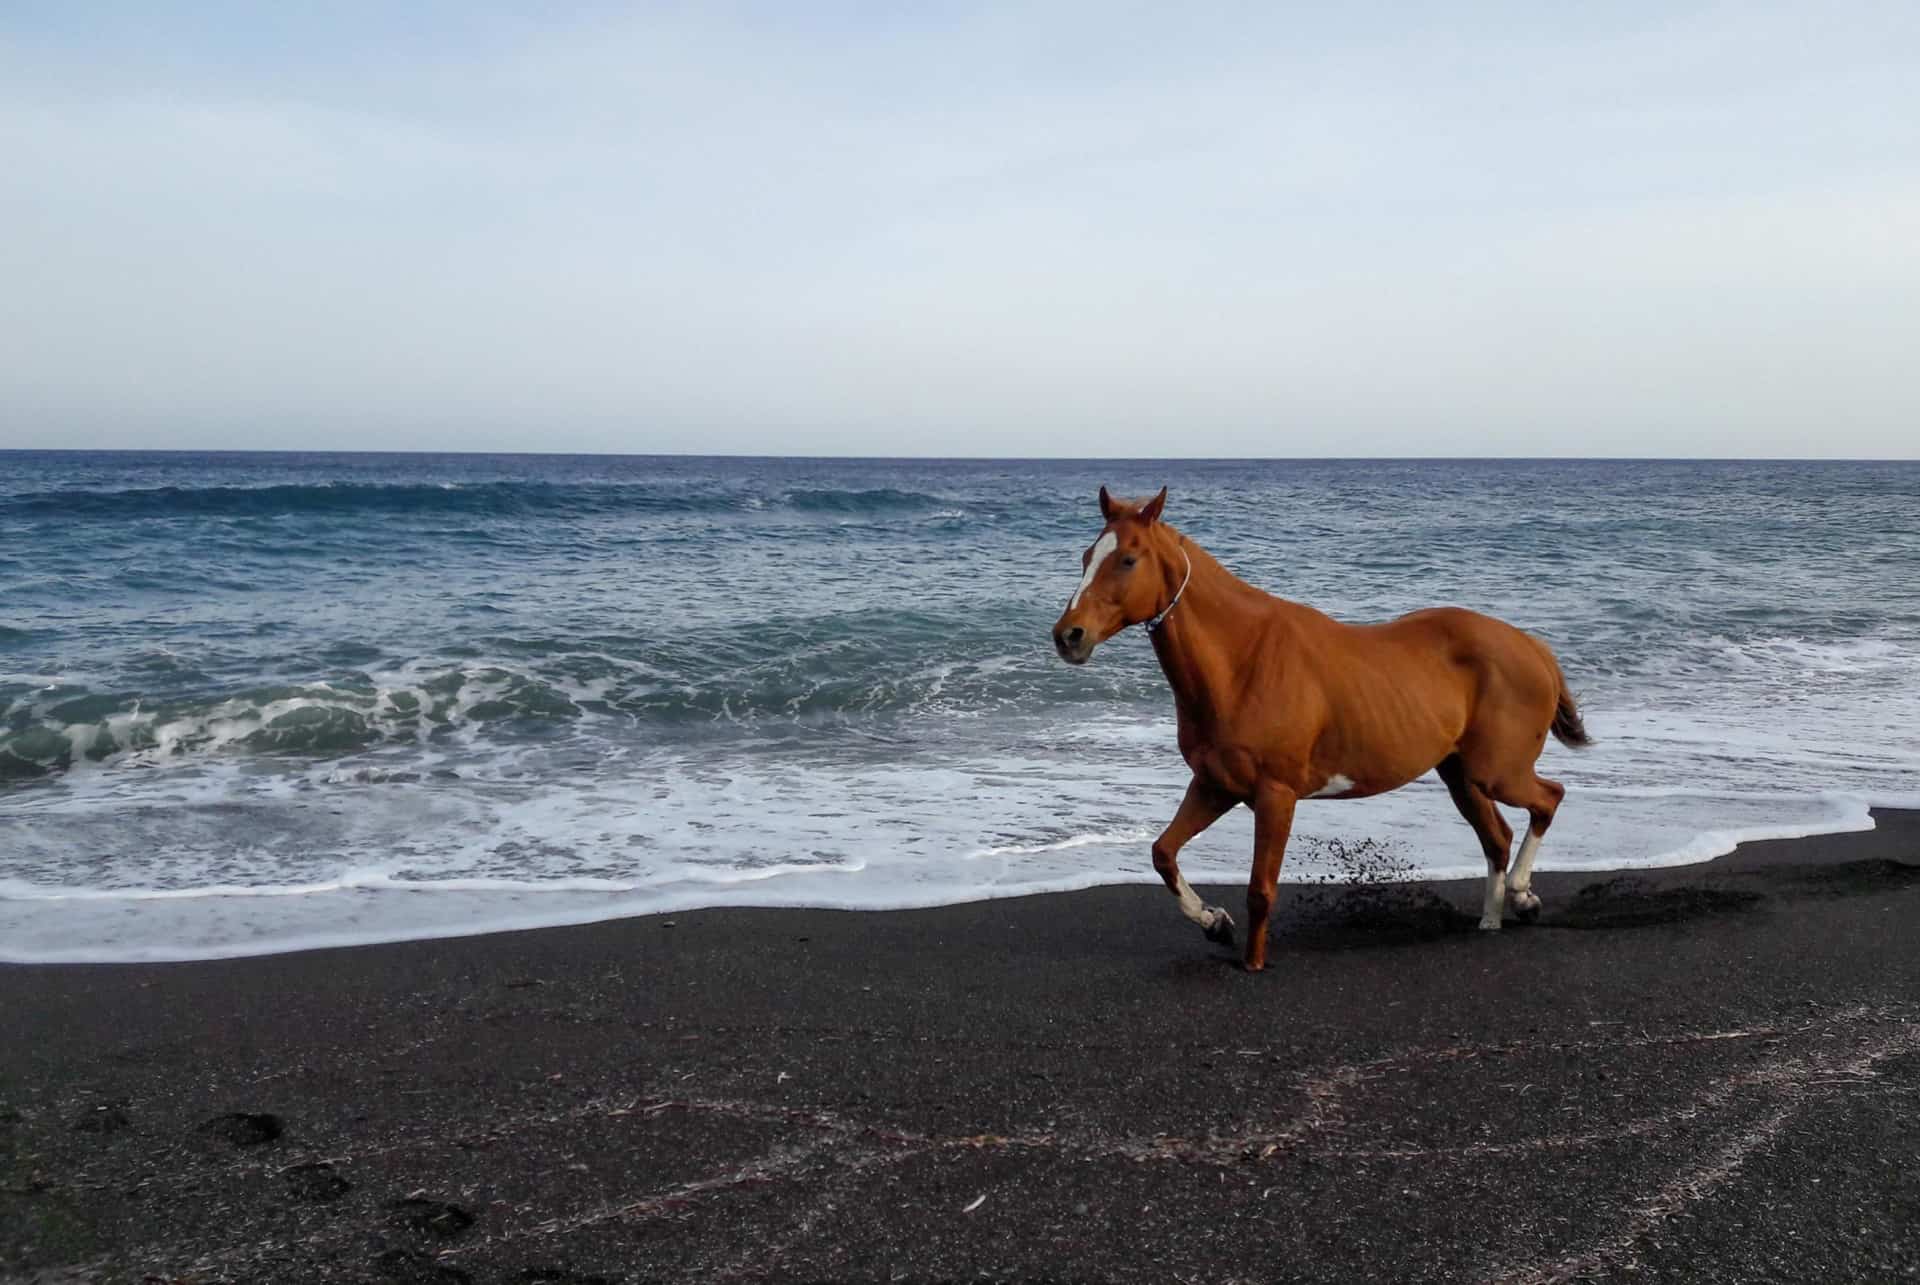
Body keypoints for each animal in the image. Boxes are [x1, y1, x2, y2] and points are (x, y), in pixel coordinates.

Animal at [1051, 485, 1590, 972]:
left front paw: (1253, 962)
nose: (1069, 636)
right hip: (1461, 776)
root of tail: (1531, 646)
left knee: (1549, 798)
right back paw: (1493, 918)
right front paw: (1215, 922)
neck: (1242, 660)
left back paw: (1521, 895)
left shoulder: (1276, 795)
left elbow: (1260, 889)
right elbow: (1163, 852)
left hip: (1497, 773)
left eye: (1127, 560)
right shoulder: (1215, 786)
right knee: (1497, 836)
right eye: (1086, 556)